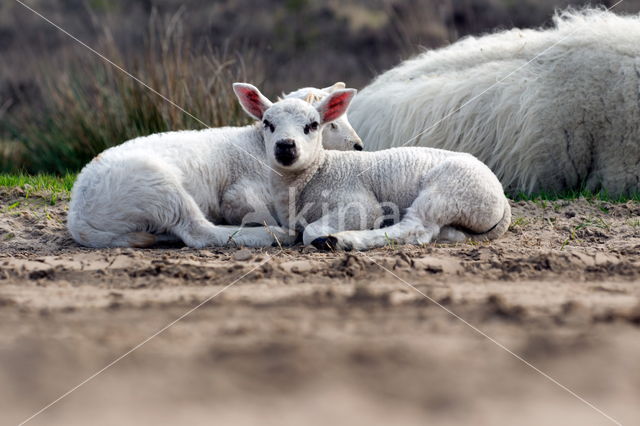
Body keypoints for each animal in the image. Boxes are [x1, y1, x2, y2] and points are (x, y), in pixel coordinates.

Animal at [69, 83, 364, 248]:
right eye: (330, 125)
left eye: (315, 124)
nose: (359, 146)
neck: (256, 143)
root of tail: (78, 217)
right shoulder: (239, 194)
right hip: (159, 187)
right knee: (200, 233)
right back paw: (273, 236)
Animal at [234, 84, 510, 250]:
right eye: (267, 123)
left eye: (313, 125)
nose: (285, 146)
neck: (317, 172)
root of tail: (503, 200)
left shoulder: (359, 204)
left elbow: (310, 231)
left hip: (447, 190)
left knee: (414, 229)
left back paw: (340, 240)